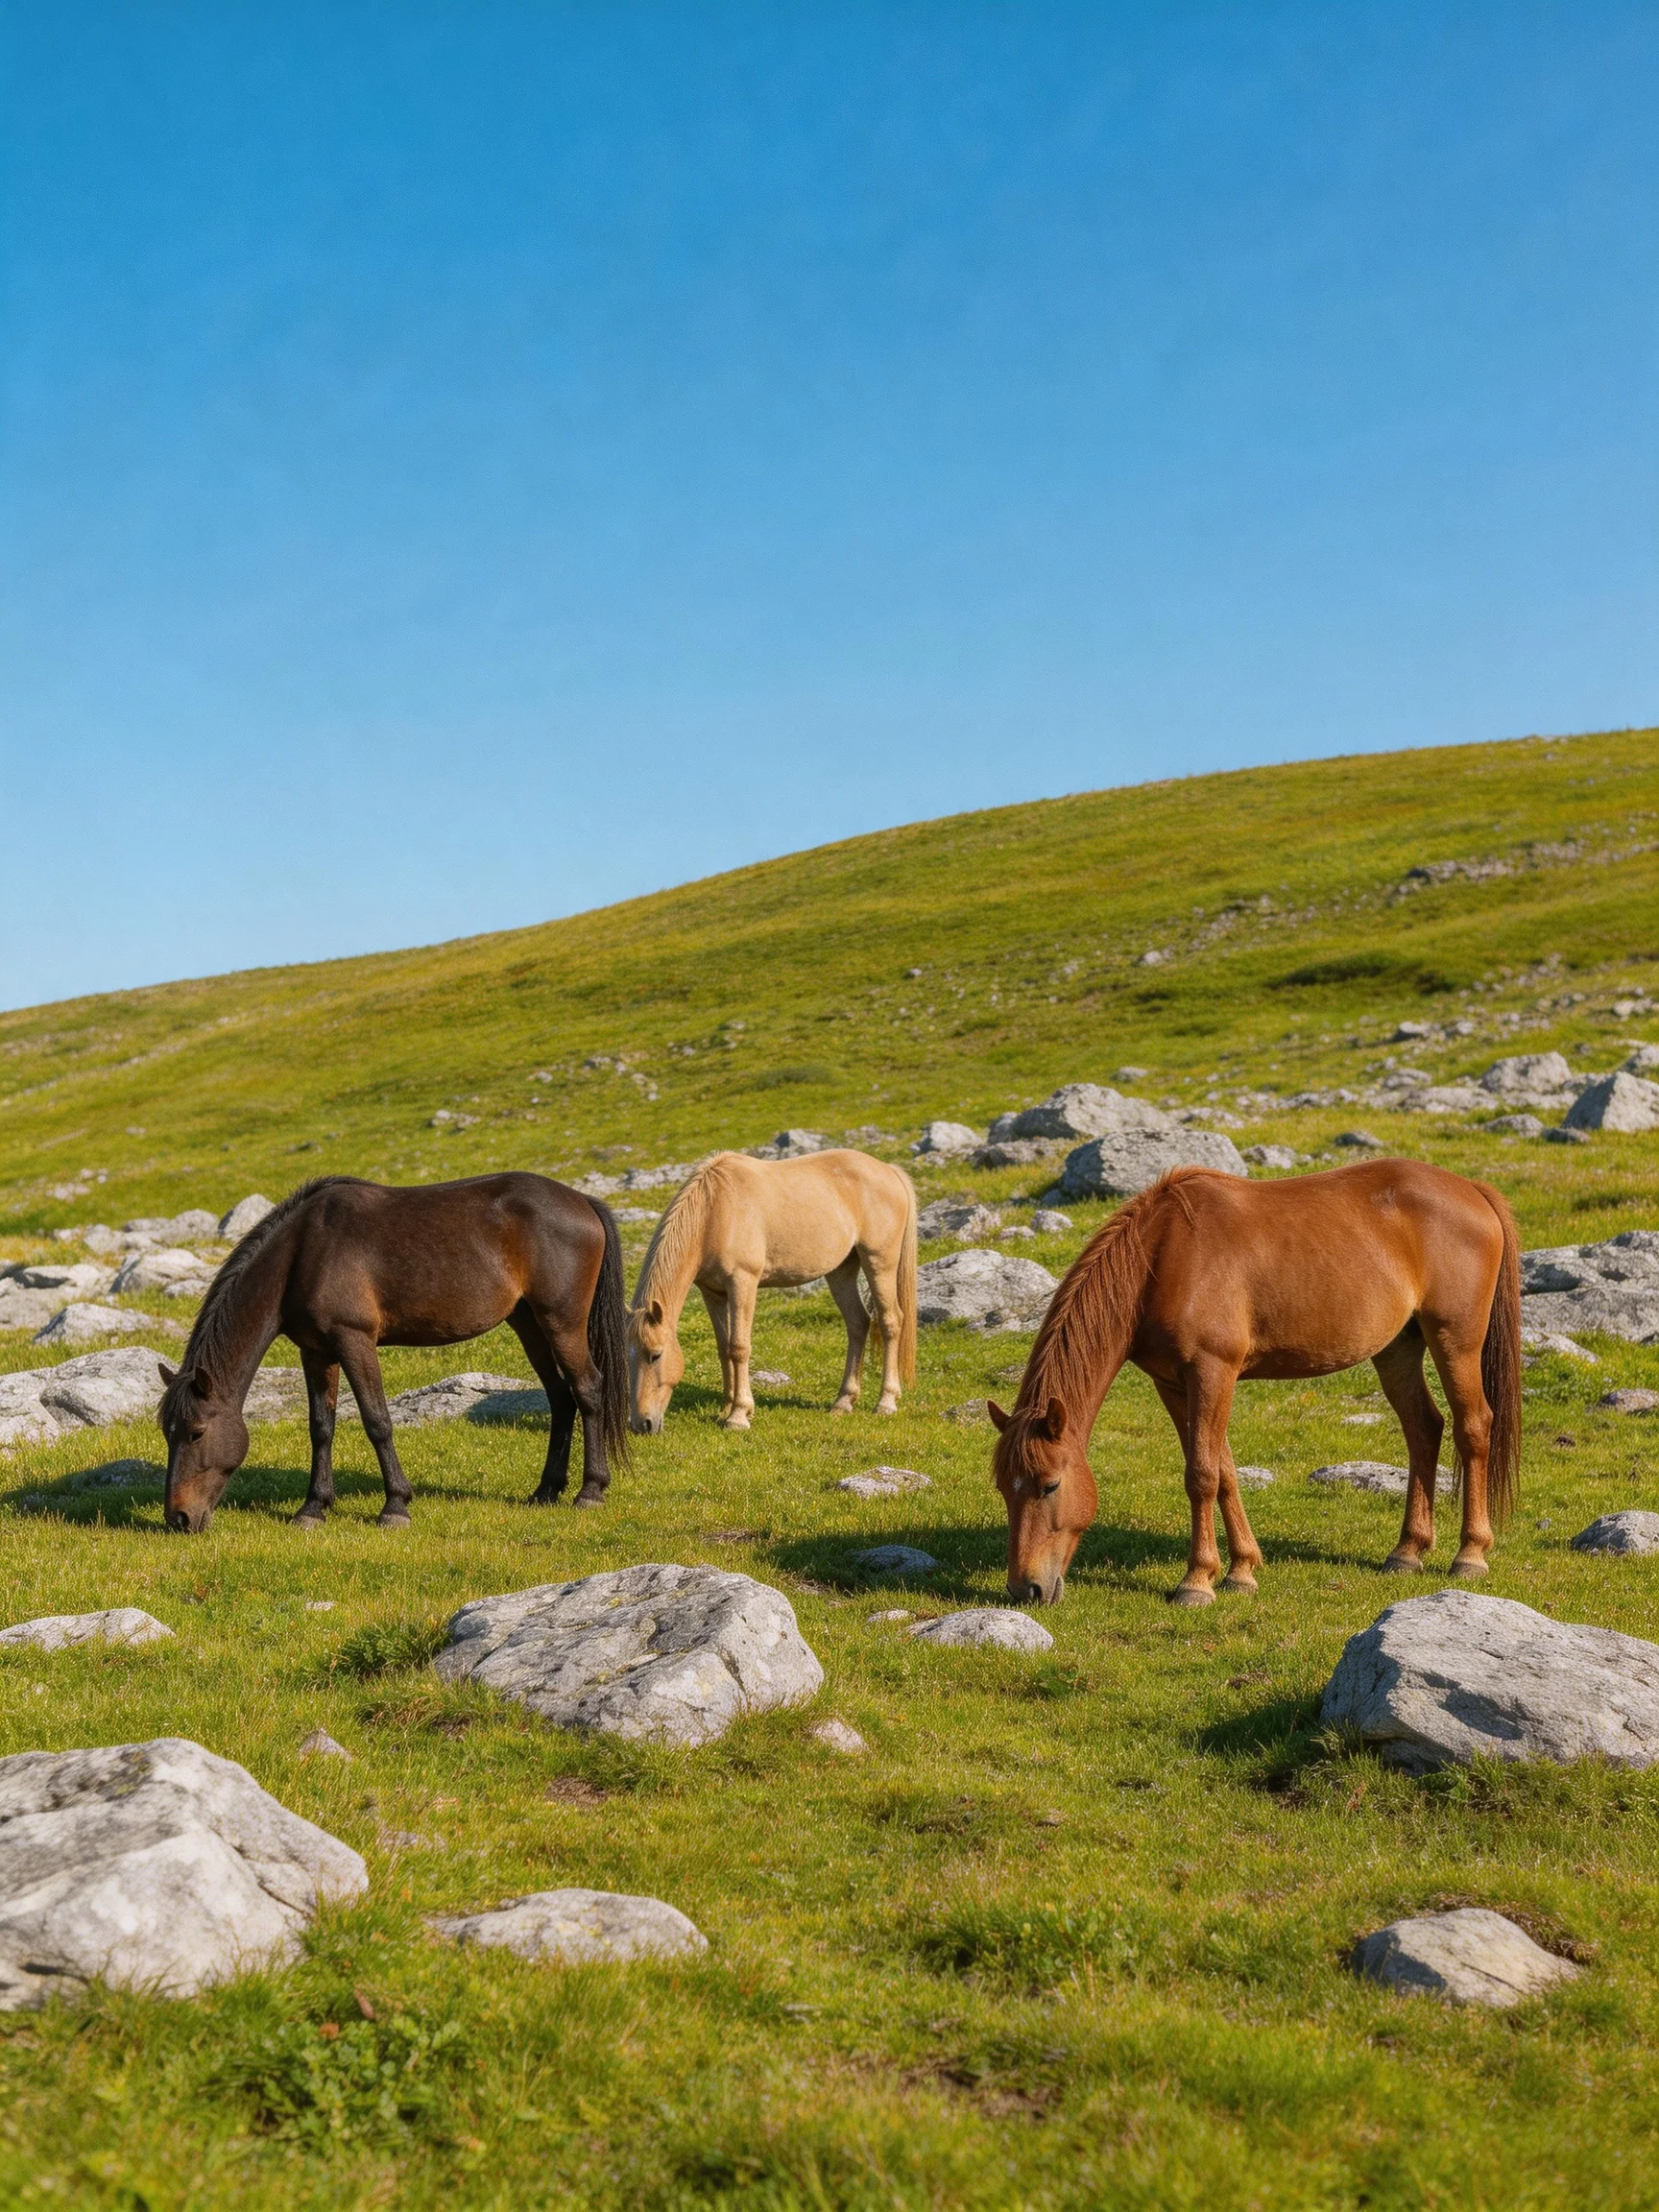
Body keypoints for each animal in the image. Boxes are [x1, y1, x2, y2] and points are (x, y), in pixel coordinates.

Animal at [157, 1174, 629, 1534]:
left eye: (197, 1432)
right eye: (168, 1432)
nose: (178, 1518)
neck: (304, 1252)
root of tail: (583, 1202)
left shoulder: (354, 1341)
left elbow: (377, 1421)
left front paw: (395, 1506)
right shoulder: (316, 1352)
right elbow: (321, 1428)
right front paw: (313, 1509)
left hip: (561, 1322)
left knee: (587, 1390)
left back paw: (590, 1491)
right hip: (529, 1323)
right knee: (561, 1397)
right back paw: (546, 1490)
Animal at [627, 1150, 918, 1432]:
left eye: (655, 1355)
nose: (642, 1424)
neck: (715, 1211)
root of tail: (889, 1170)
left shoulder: (743, 1282)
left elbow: (739, 1347)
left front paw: (739, 1415)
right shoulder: (713, 1293)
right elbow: (723, 1348)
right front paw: (726, 1407)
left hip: (879, 1262)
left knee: (891, 1321)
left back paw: (886, 1402)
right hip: (841, 1271)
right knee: (858, 1323)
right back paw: (843, 1402)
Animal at [989, 1159, 1521, 1607]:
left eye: (1050, 1485)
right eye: (1002, 1488)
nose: (1025, 1589)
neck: (1164, 1256)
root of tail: (1472, 1190)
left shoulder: (1212, 1371)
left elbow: (1202, 1475)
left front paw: (1196, 1582)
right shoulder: (1175, 1384)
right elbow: (1222, 1471)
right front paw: (1241, 1570)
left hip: (1455, 1340)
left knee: (1473, 1427)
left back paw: (1470, 1555)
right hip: (1398, 1349)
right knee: (1423, 1429)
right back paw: (1407, 1551)